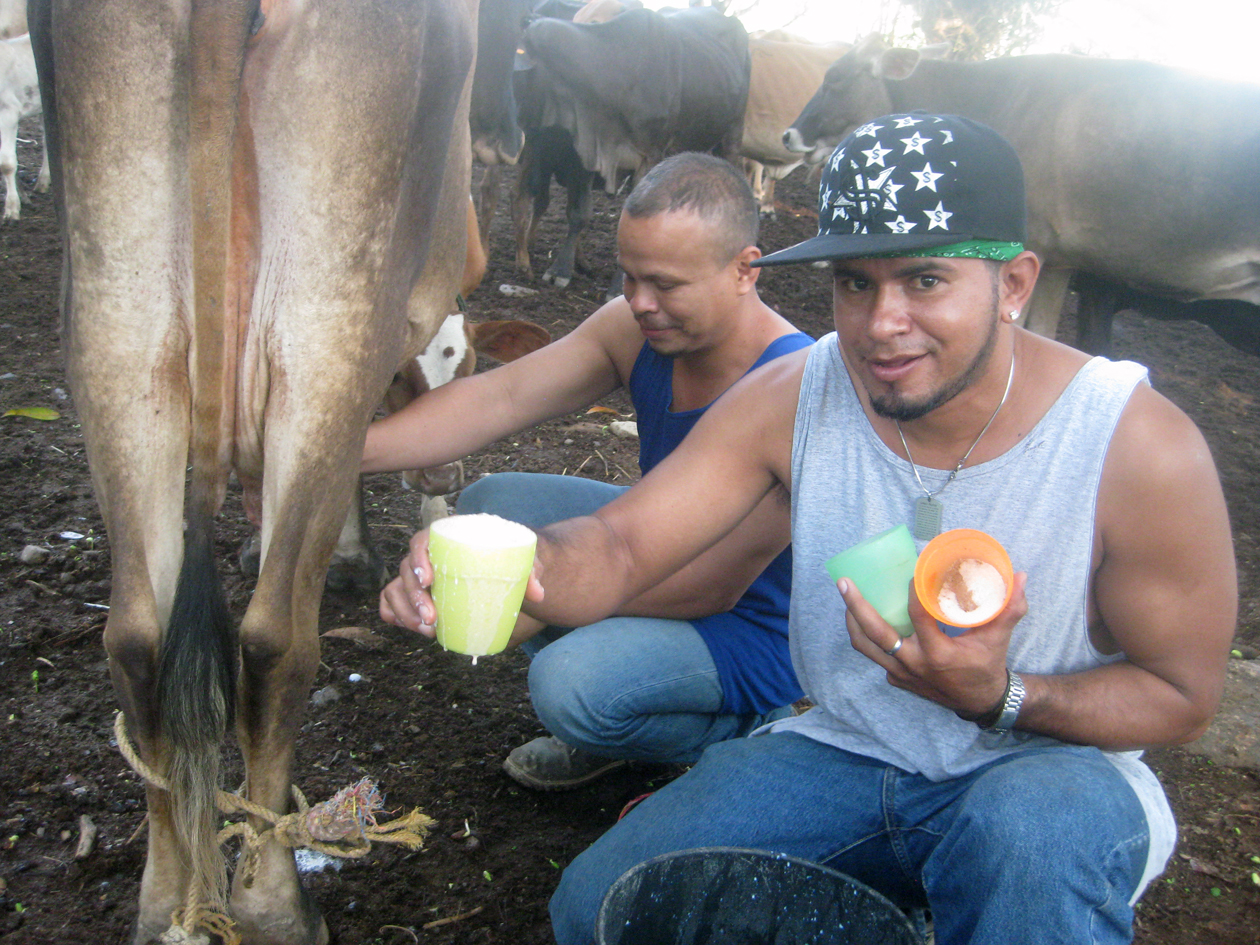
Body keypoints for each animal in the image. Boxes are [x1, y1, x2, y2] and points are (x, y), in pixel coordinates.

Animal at [30, 1, 481, 945]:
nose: (447, 472)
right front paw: (360, 554)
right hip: (331, 314)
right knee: (276, 641)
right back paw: (274, 904)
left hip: (116, 318)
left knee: (136, 639)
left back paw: (170, 900)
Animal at [511, 4, 745, 296]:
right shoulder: (586, 154)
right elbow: (578, 213)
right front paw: (561, 270)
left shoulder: (650, 156)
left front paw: (616, 287)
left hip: (733, 135)